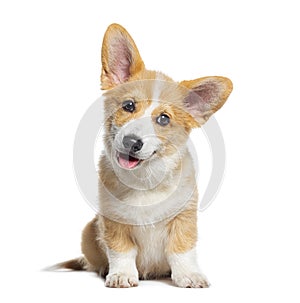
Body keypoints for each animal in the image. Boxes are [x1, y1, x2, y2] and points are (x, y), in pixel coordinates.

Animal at [55, 22, 233, 288]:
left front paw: (189, 275)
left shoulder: (183, 217)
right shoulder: (113, 221)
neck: (144, 180)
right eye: (129, 105)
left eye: (164, 119)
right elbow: (122, 251)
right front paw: (121, 275)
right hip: (88, 232)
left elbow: (182, 249)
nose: (131, 142)